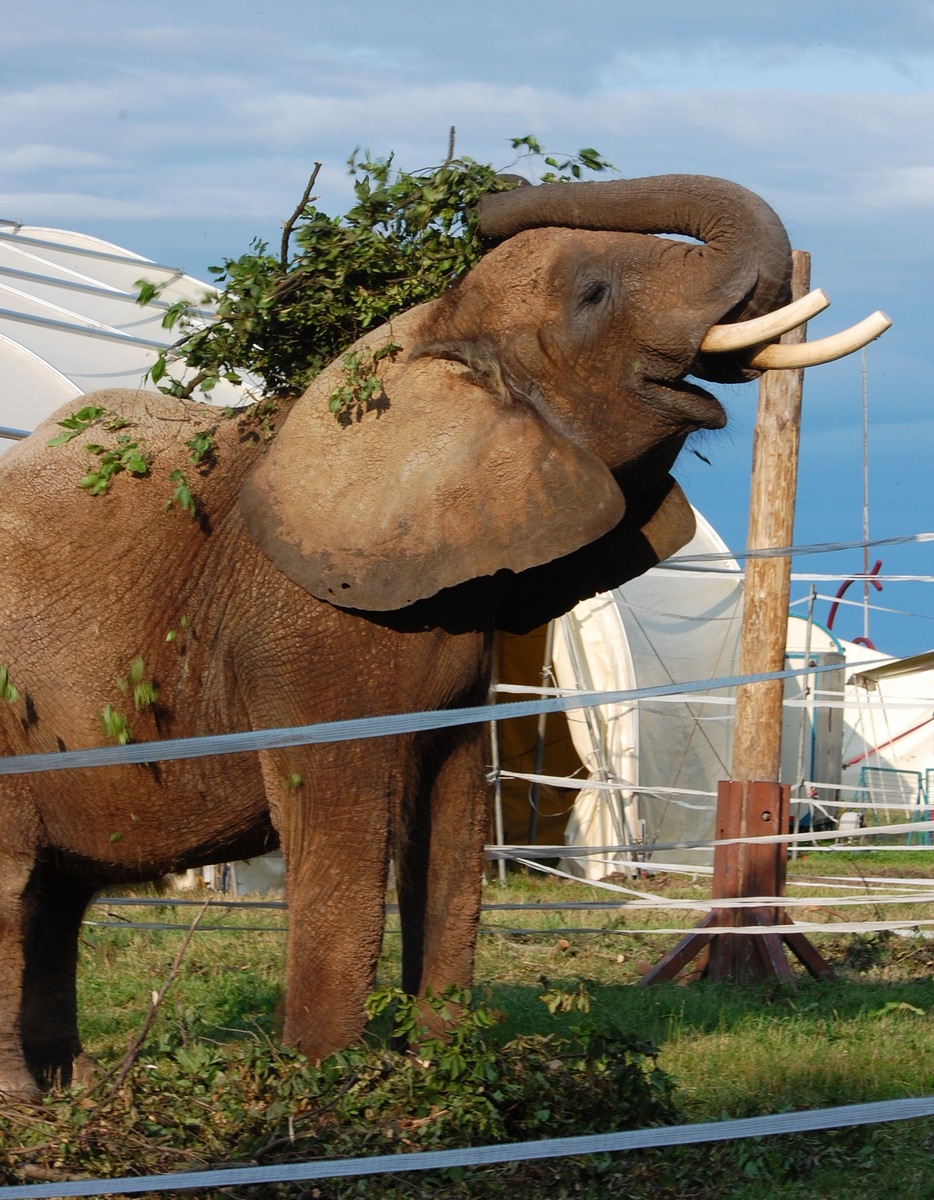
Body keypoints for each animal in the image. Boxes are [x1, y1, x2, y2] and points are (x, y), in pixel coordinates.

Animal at [0, 174, 787, 1099]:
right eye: (593, 296)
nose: (494, 193)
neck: (426, 337)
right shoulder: (310, 640)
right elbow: (341, 825)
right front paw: (320, 1087)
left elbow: (450, 818)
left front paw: (442, 1073)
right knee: (15, 889)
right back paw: (29, 1099)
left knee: (55, 894)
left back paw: (78, 1088)